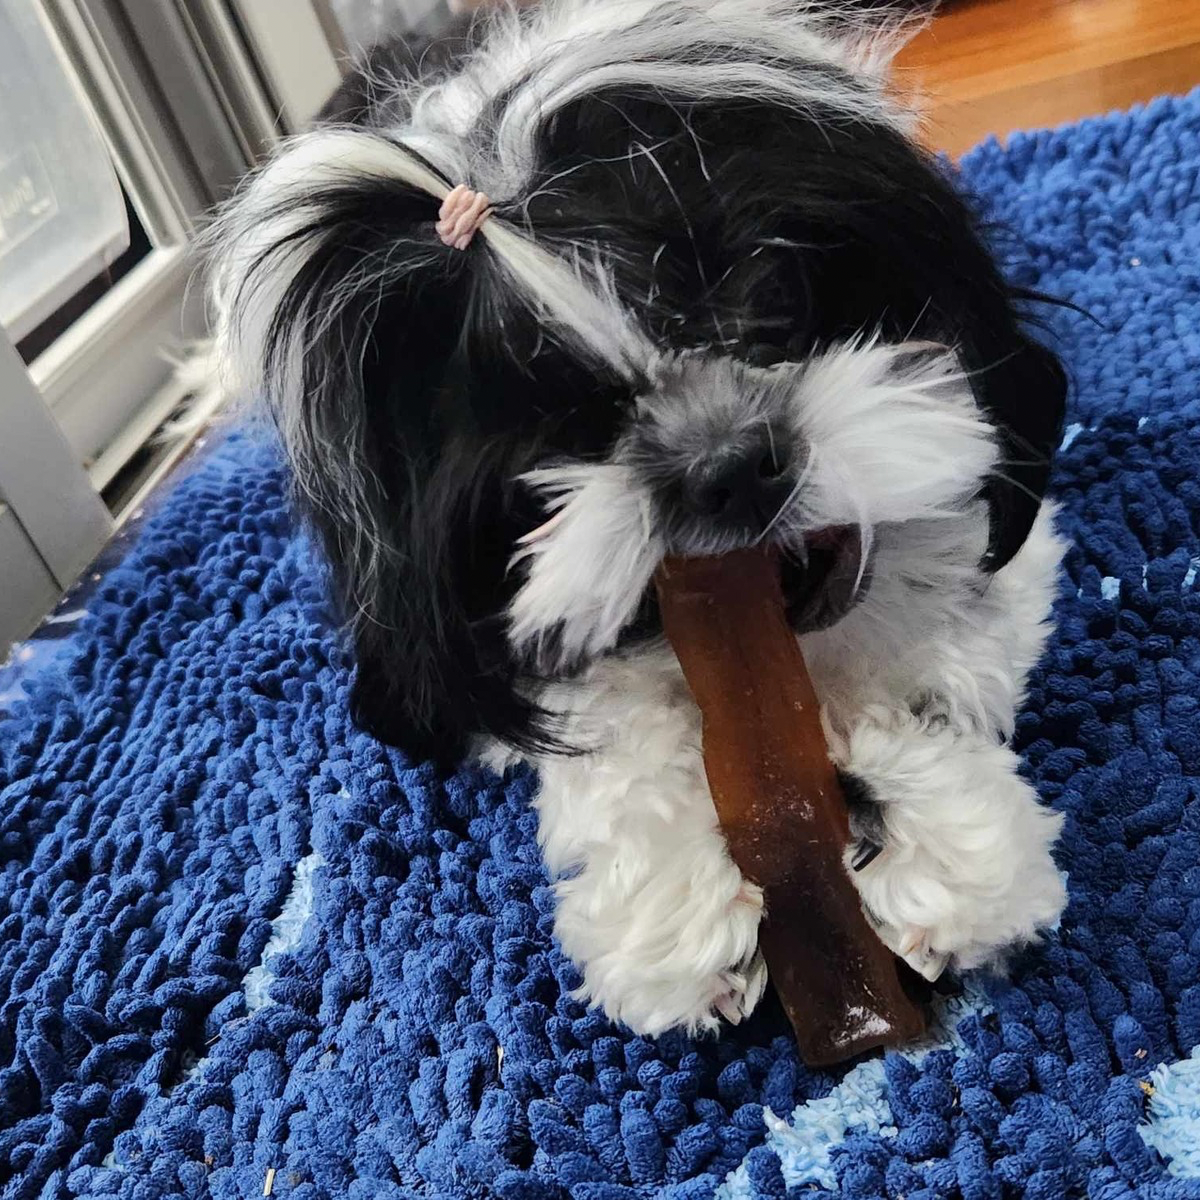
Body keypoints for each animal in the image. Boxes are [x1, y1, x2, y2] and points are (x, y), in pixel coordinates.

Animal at [206, 0, 1070, 1032]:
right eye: (556, 434)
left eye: (768, 301)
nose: (726, 465)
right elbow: (610, 725)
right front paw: (679, 905)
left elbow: (950, 634)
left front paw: (933, 833)